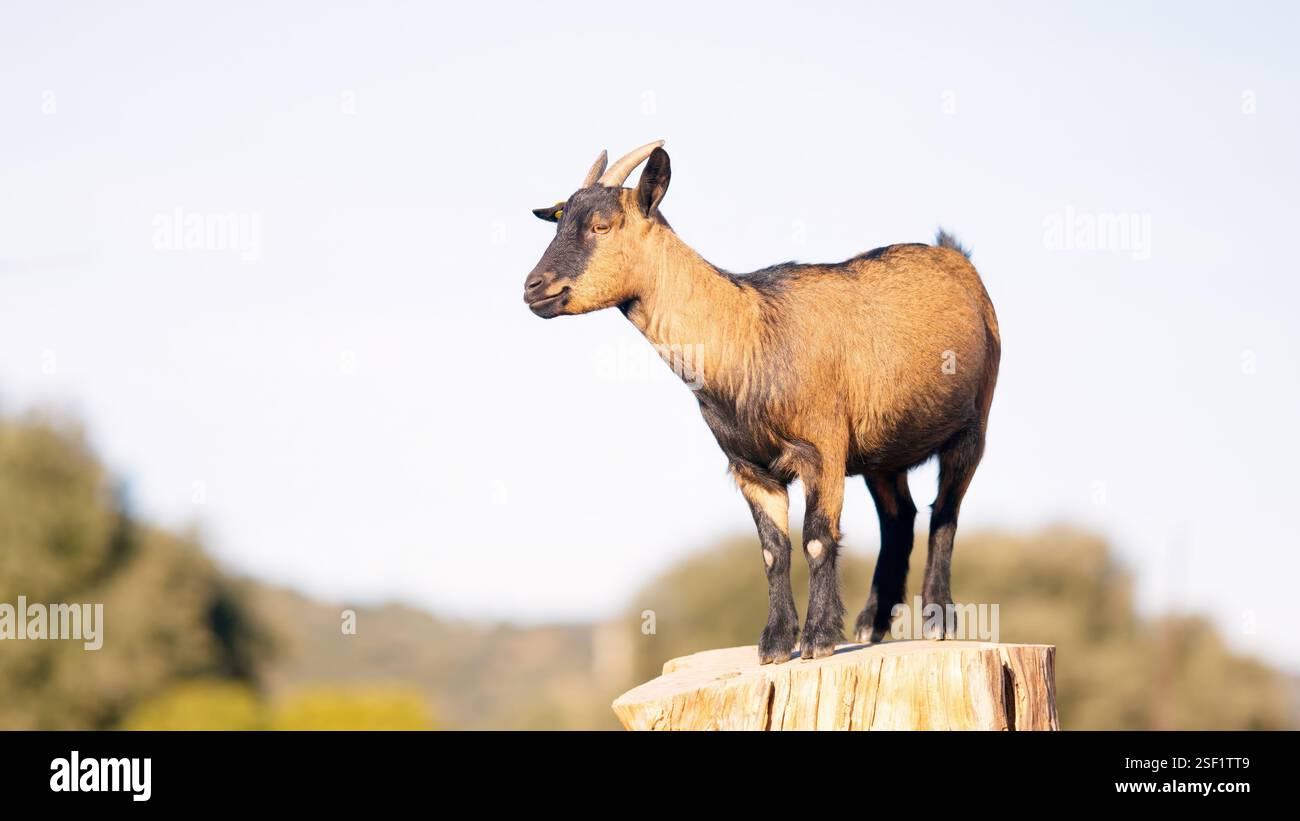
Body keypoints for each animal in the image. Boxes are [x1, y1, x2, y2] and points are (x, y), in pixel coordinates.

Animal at [524, 141, 1000, 663]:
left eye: (602, 226)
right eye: (559, 221)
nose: (533, 287)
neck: (748, 333)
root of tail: (955, 257)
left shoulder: (823, 450)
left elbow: (817, 539)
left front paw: (817, 640)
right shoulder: (750, 466)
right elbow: (773, 551)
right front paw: (774, 643)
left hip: (974, 422)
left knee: (944, 512)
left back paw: (938, 619)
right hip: (883, 452)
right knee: (901, 518)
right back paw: (871, 623)